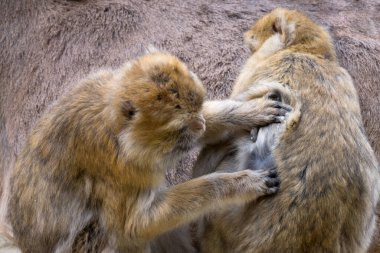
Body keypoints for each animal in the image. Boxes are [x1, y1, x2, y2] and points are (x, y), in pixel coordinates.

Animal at [6, 50, 290, 252]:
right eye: (181, 126)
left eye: (197, 110)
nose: (199, 124)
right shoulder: (121, 165)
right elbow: (134, 227)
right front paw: (238, 184)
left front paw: (250, 112)